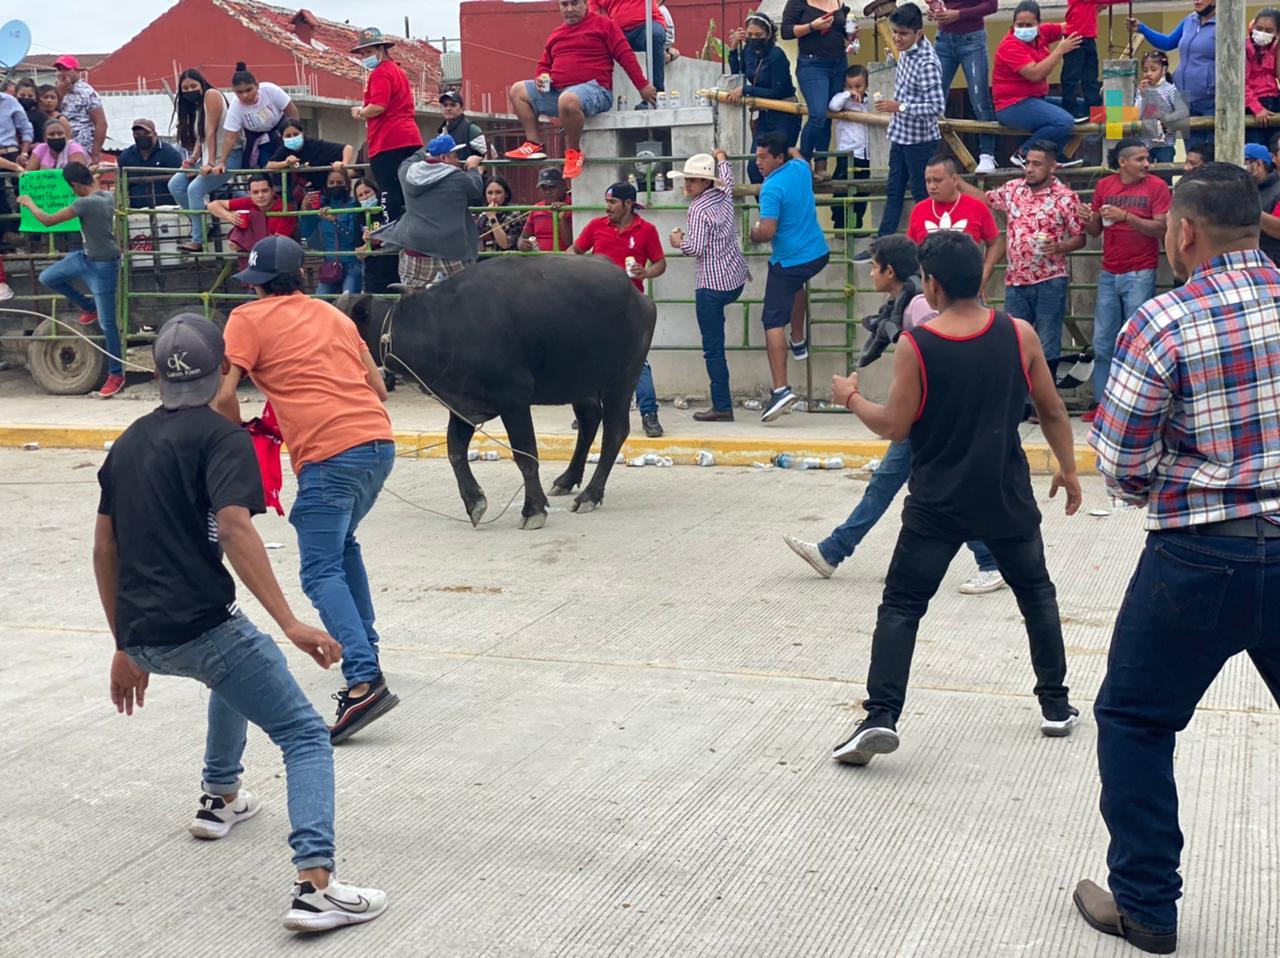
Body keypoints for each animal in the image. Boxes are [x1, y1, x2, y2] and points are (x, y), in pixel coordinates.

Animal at [337, 258, 655, 527]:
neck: (440, 325)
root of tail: (641, 299)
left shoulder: (514, 401)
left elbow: (526, 454)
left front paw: (533, 509)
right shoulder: (462, 405)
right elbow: (455, 452)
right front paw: (475, 502)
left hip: (621, 380)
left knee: (614, 430)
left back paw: (589, 494)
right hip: (580, 384)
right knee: (590, 422)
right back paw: (567, 480)